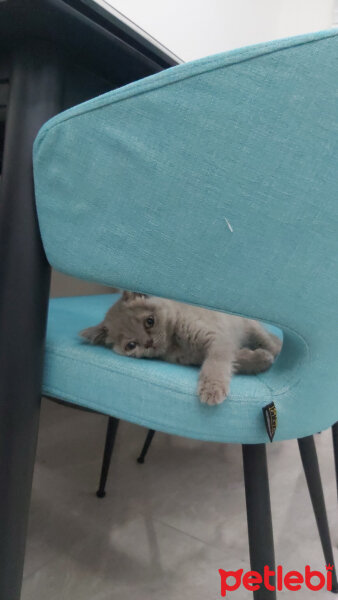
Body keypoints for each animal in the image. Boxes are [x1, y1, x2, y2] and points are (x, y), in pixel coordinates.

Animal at [80, 292, 282, 406]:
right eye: (131, 345)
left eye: (149, 321)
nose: (149, 342)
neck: (176, 344)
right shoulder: (200, 356)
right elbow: (235, 359)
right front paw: (261, 359)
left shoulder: (218, 339)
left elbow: (216, 364)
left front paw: (212, 390)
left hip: (252, 328)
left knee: (271, 342)